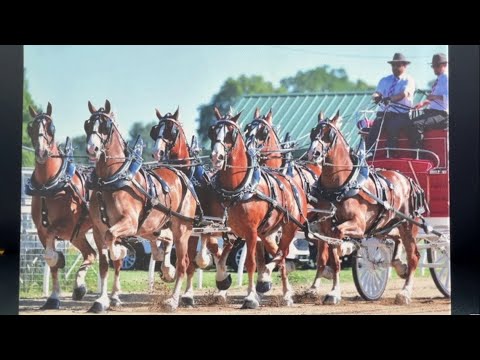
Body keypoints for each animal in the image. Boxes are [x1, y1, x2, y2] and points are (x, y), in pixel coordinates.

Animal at [26, 102, 95, 308]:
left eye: (51, 127)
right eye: (31, 127)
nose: (41, 152)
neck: (49, 184)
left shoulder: (65, 226)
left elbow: (52, 256)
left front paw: (61, 259)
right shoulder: (41, 230)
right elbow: (51, 260)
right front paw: (54, 297)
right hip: (78, 234)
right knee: (91, 254)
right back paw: (79, 288)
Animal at [83, 99, 196, 312]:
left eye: (105, 126)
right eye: (88, 124)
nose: (92, 148)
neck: (110, 180)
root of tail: (181, 173)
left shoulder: (129, 222)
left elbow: (113, 241)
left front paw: (120, 251)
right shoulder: (97, 229)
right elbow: (104, 264)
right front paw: (102, 300)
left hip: (182, 228)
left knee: (184, 262)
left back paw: (174, 299)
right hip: (155, 225)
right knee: (165, 241)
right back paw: (166, 267)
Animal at [151, 107, 237, 304]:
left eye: (171, 130)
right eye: (155, 130)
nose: (157, 152)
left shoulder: (195, 223)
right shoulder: (179, 223)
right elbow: (181, 255)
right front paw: (182, 287)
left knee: (224, 246)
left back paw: (222, 285)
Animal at [209, 108, 308, 308]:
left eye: (231, 133)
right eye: (212, 132)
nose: (217, 156)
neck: (237, 188)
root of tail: (294, 185)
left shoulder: (251, 232)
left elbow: (251, 263)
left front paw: (250, 296)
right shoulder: (227, 229)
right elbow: (219, 255)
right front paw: (223, 280)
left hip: (289, 227)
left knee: (282, 254)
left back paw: (271, 284)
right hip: (267, 233)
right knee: (280, 255)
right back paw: (282, 291)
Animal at [308, 112, 424, 304]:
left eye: (329, 134)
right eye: (313, 132)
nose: (313, 153)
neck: (340, 187)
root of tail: (408, 179)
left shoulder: (358, 225)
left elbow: (337, 239)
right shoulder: (325, 226)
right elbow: (330, 258)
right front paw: (329, 290)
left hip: (408, 225)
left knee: (414, 256)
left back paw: (405, 292)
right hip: (386, 225)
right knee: (395, 240)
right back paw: (399, 265)